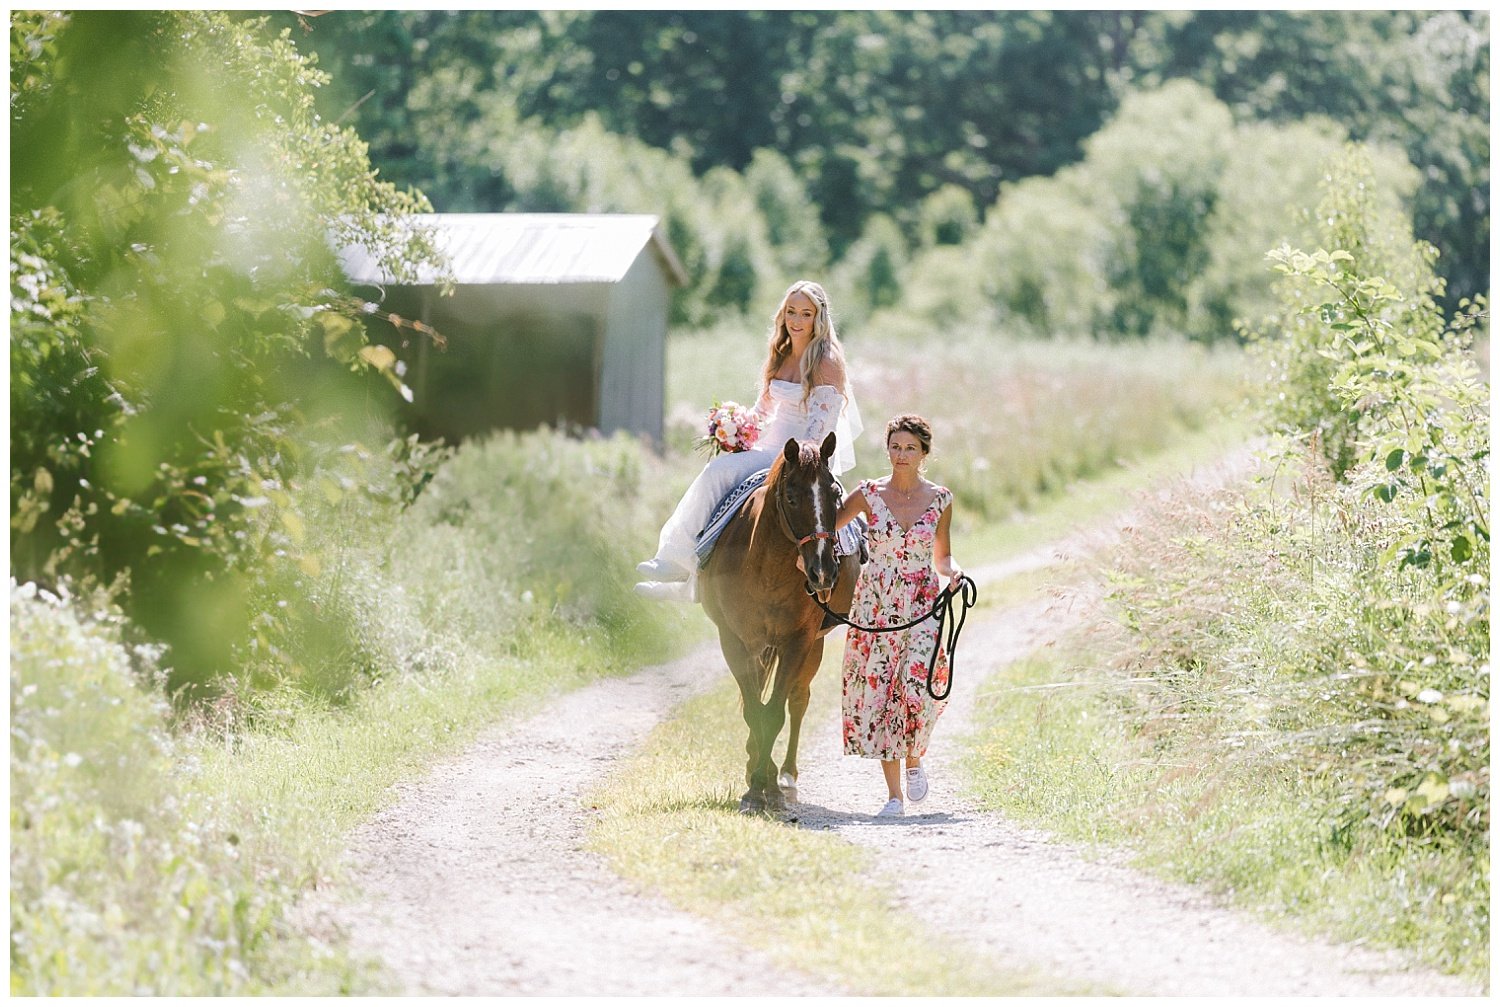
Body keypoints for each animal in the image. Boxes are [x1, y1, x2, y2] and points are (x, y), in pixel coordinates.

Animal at [699, 429, 858, 816]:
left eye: (835, 495)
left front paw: (764, 786)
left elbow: (772, 713)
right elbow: (753, 710)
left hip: (813, 645)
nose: (823, 572)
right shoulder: (734, 641)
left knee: (797, 700)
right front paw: (755, 782)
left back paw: (785, 774)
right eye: (791, 497)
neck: (766, 566)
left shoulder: (797, 641)